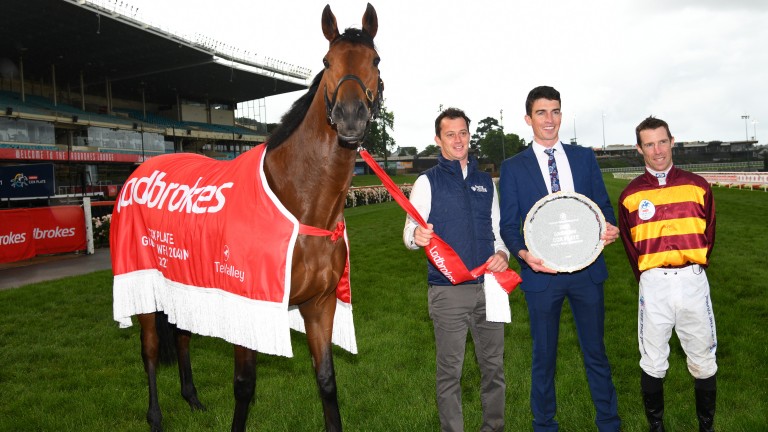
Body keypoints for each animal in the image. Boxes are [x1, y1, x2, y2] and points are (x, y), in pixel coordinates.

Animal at [113, 4, 384, 432]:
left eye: (374, 60)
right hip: (140, 277)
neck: (297, 206)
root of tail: (142, 169)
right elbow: (244, 385)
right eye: (327, 62)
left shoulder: (320, 303)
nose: (351, 118)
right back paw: (155, 416)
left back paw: (192, 398)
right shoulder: (249, 304)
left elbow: (326, 380)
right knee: (151, 347)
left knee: (182, 334)